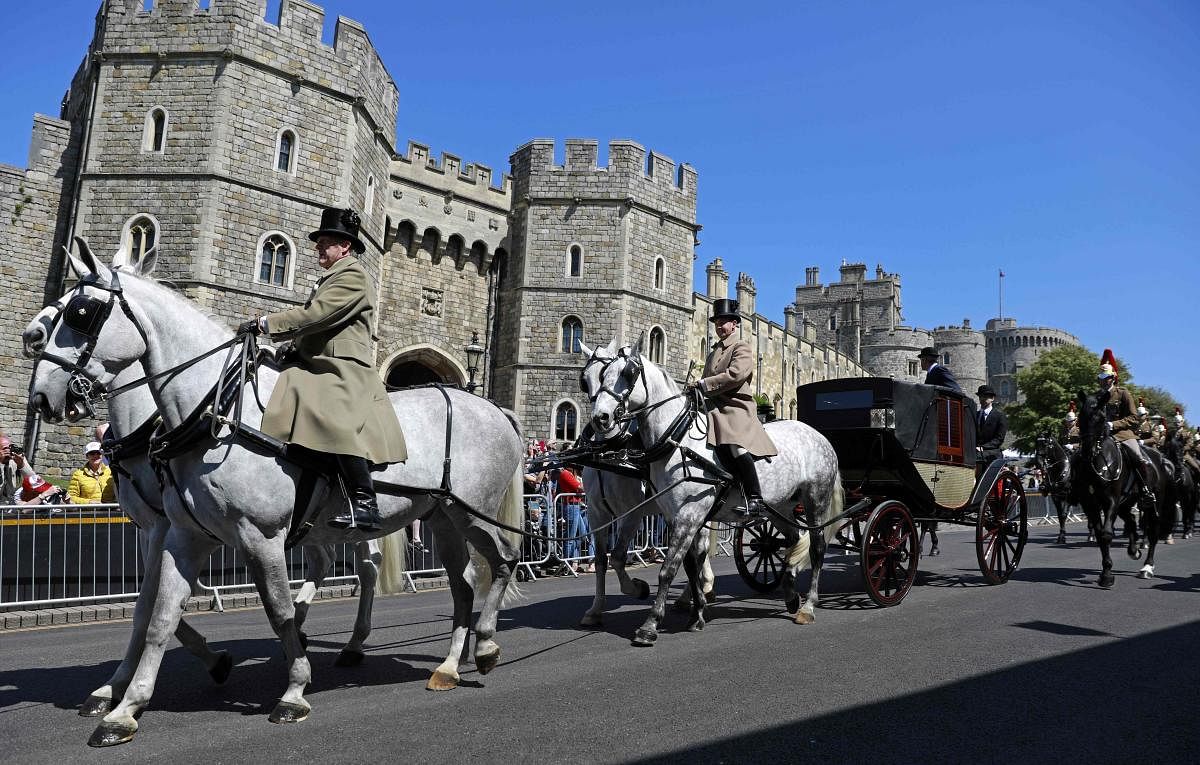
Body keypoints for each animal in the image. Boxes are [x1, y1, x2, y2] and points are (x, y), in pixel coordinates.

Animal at [25, 241, 523, 748]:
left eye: (81, 311)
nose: (41, 395)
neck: (216, 411)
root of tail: (491, 407)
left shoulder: (258, 536)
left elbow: (276, 609)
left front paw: (294, 689)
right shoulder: (181, 535)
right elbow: (157, 616)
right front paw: (125, 707)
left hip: (474, 513)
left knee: (503, 560)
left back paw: (483, 643)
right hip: (440, 517)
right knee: (460, 582)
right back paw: (447, 666)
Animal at [580, 340, 844, 647]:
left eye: (628, 373)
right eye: (591, 379)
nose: (601, 419)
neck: (678, 439)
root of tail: (818, 435)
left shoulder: (680, 514)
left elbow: (667, 567)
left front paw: (650, 623)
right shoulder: (664, 515)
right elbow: (683, 563)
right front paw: (696, 614)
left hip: (816, 500)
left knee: (816, 546)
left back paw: (809, 605)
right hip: (780, 507)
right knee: (793, 539)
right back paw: (790, 593)